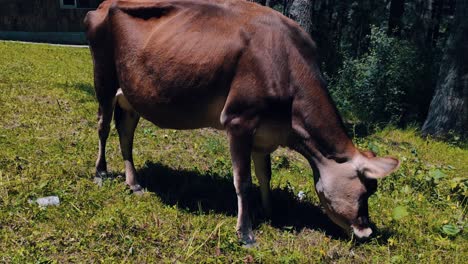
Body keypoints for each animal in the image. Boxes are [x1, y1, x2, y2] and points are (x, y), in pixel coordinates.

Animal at [84, 0, 398, 245]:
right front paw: (245, 233)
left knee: (125, 133)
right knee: (102, 126)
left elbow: (264, 174)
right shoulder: (238, 120)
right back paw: (100, 173)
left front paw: (269, 212)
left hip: (131, 95)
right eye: (366, 190)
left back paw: (134, 183)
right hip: (104, 80)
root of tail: (103, 6)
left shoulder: (265, 133)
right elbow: (243, 181)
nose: (367, 232)